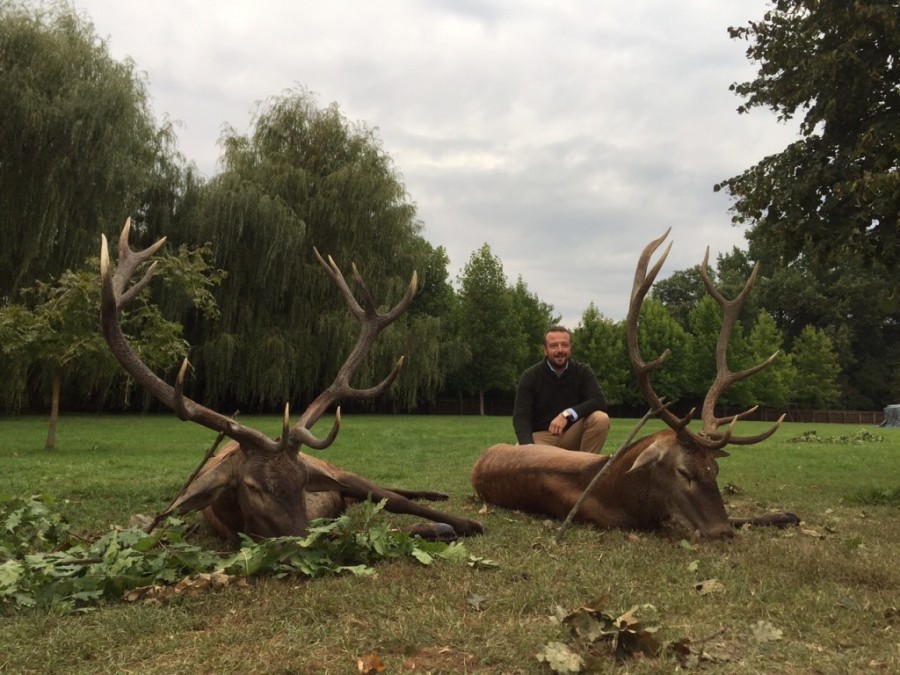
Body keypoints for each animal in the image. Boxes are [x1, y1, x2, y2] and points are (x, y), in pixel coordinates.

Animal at [100, 219, 484, 542]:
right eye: (252, 487)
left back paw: (439, 497)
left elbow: (401, 506)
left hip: (338, 471)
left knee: (391, 493)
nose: (303, 535)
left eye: (302, 483)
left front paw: (467, 523)